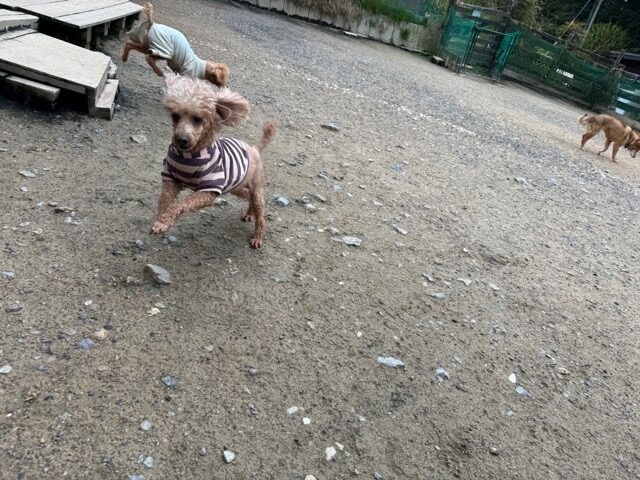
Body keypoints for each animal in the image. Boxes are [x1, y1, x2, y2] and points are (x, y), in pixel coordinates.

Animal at [150, 76, 277, 249]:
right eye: (175, 116)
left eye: (197, 119)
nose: (181, 140)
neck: (189, 155)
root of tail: (254, 149)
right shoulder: (171, 179)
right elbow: (164, 200)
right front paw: (161, 221)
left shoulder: (209, 190)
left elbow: (182, 203)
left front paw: (164, 221)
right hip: (236, 186)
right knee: (247, 195)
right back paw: (250, 214)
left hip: (256, 186)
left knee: (260, 211)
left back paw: (257, 236)